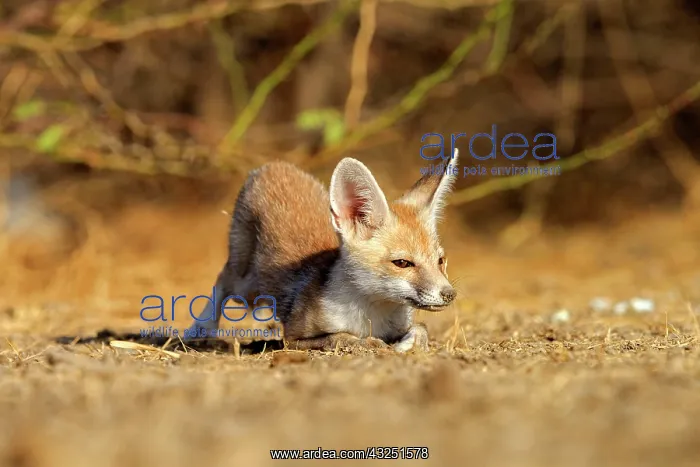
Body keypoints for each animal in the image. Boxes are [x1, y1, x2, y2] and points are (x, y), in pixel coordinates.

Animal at [185, 148, 459, 352]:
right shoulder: (293, 338)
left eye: (441, 261)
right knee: (222, 280)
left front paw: (409, 344)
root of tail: (275, 165)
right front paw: (369, 343)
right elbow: (339, 337)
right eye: (402, 263)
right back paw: (201, 328)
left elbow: (421, 328)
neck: (370, 316)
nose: (449, 294)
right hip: (246, 284)